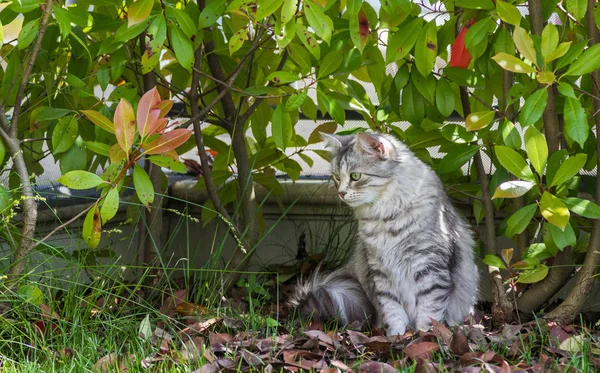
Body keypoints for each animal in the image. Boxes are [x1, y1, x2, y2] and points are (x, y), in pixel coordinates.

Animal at [288, 131, 480, 334]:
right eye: (336, 177)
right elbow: (392, 310)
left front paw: (424, 335)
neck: (385, 218)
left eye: (355, 176)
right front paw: (396, 335)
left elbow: (429, 311)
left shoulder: (428, 266)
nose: (340, 193)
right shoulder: (381, 270)